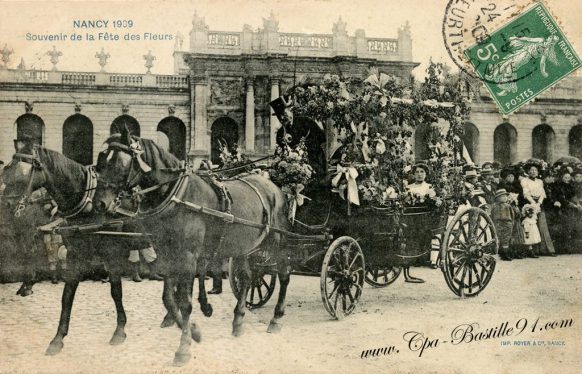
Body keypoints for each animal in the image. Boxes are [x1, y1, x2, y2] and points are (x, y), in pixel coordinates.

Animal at [0, 145, 214, 358]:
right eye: (5, 173)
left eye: (20, 174)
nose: (7, 205)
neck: (88, 202)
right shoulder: (75, 253)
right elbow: (67, 295)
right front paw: (57, 339)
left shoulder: (112, 253)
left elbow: (116, 292)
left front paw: (119, 331)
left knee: (199, 269)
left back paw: (200, 307)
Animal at [94, 128, 292, 366]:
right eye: (100, 161)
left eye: (119, 163)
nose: (99, 204)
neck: (177, 195)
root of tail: (274, 188)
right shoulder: (168, 255)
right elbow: (169, 299)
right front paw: (194, 332)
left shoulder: (187, 257)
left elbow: (185, 302)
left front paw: (184, 347)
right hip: (242, 246)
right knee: (246, 278)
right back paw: (238, 321)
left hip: (278, 241)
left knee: (283, 275)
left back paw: (276, 318)